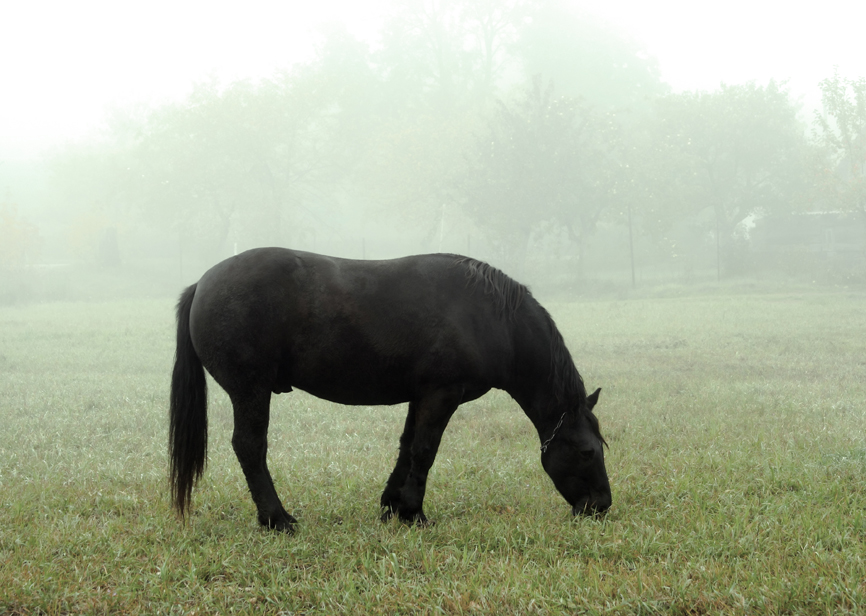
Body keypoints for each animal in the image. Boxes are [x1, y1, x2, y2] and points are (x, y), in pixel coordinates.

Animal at [169, 248, 608, 532]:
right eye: (587, 452)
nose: (602, 507)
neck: (490, 318)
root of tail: (202, 283)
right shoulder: (443, 393)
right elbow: (425, 450)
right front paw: (414, 514)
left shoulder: (423, 394)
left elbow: (407, 446)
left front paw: (393, 506)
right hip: (251, 390)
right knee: (250, 447)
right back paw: (276, 519)